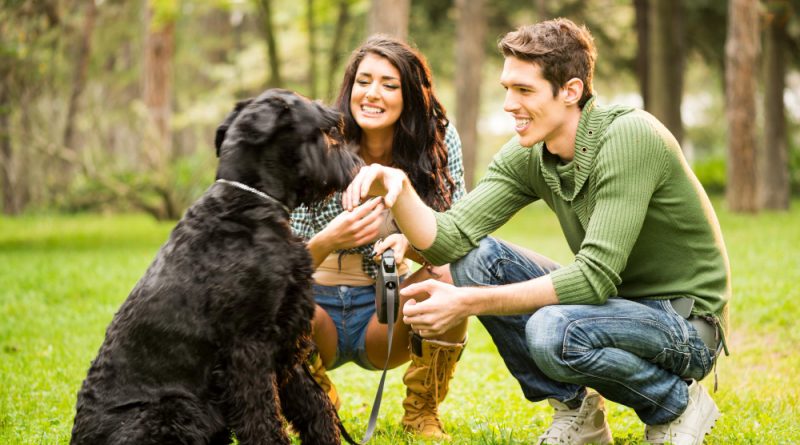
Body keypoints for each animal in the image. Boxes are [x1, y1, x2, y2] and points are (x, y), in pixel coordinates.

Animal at [72, 88, 360, 442]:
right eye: (328, 128)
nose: (357, 164)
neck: (250, 204)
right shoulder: (248, 346)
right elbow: (262, 414)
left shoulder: (287, 340)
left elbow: (313, 404)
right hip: (177, 411)